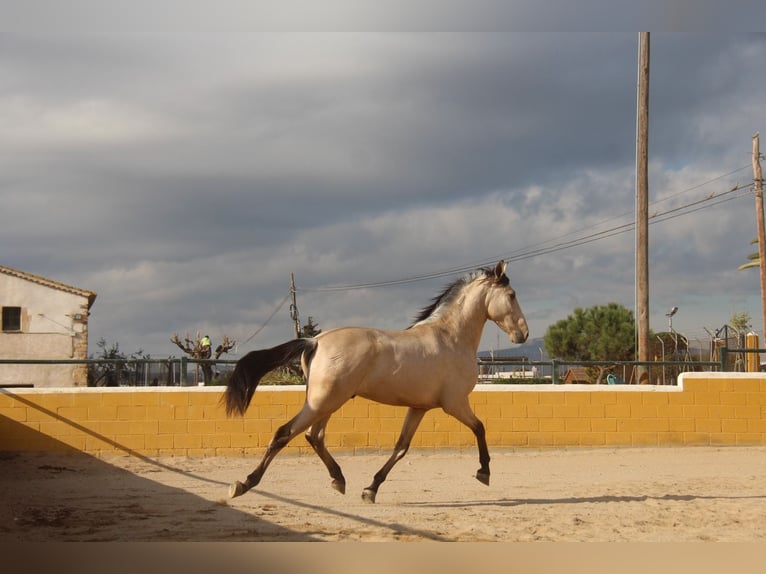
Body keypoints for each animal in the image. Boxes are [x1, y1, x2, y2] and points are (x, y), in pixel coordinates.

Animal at [222, 260, 528, 504]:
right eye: (512, 295)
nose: (523, 334)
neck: (451, 337)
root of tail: (314, 341)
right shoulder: (454, 403)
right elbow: (480, 428)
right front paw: (483, 472)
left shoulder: (419, 408)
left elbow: (401, 447)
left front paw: (371, 489)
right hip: (323, 402)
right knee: (285, 433)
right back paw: (244, 484)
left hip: (327, 403)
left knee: (314, 436)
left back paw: (339, 480)